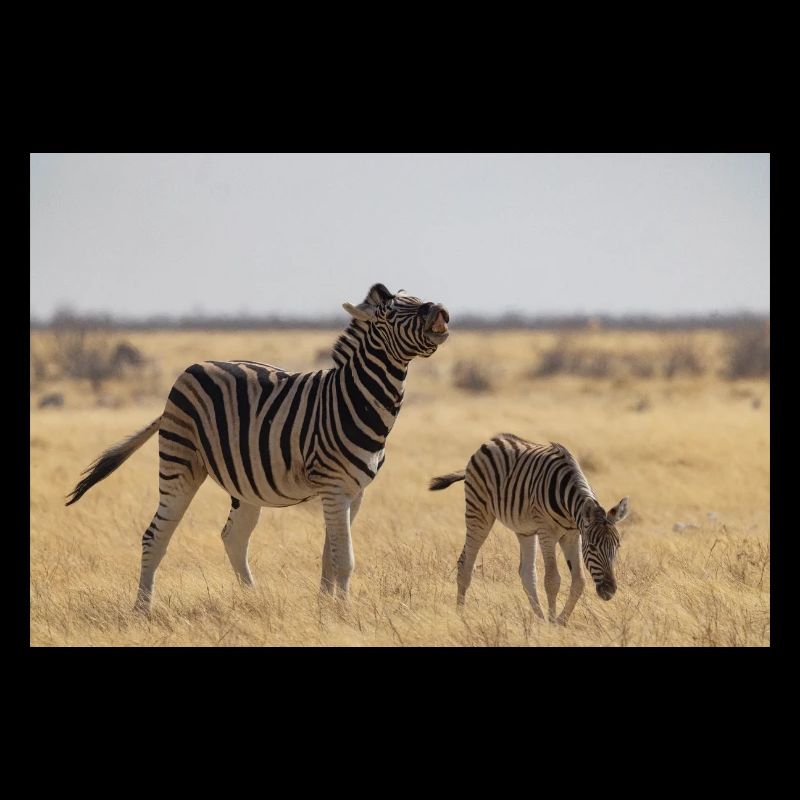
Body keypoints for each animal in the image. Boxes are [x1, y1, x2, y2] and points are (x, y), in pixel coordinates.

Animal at [66, 283, 450, 613]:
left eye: (417, 298)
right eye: (390, 313)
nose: (439, 310)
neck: (353, 400)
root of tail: (192, 368)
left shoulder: (354, 492)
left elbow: (331, 555)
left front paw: (325, 608)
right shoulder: (333, 487)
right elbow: (344, 559)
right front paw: (343, 613)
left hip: (245, 483)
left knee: (233, 537)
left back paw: (254, 599)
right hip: (179, 462)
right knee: (155, 536)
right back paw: (142, 610)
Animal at [429, 434, 629, 625]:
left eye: (617, 547)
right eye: (593, 547)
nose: (609, 591)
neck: (568, 505)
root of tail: (491, 442)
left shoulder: (573, 535)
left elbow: (579, 580)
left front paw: (560, 622)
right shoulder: (547, 532)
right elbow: (552, 580)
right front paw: (553, 623)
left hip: (524, 530)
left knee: (526, 573)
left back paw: (539, 619)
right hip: (478, 510)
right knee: (466, 564)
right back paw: (460, 613)